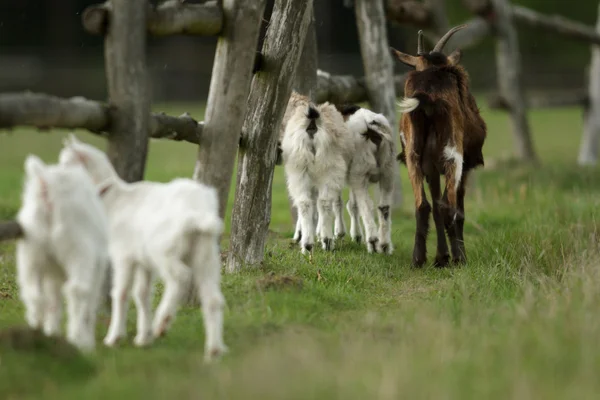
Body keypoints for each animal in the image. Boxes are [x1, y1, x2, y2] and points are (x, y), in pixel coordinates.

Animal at [15, 155, 110, 352]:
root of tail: (48, 184)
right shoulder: (97, 266)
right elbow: (89, 302)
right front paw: (88, 342)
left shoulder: (52, 271)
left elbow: (53, 299)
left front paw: (52, 331)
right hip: (79, 251)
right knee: (77, 290)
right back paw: (78, 340)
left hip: (31, 250)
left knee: (34, 294)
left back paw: (36, 334)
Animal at [58, 135, 227, 362]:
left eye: (65, 164)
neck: (113, 200)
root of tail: (198, 212)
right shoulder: (143, 261)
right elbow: (141, 294)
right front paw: (143, 339)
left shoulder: (124, 256)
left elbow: (120, 293)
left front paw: (114, 338)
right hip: (206, 253)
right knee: (213, 299)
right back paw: (213, 351)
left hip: (165, 250)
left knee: (181, 277)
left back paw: (162, 322)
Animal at [280, 93, 352, 253]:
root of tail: (312, 122)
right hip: (326, 168)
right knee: (322, 202)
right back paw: (324, 241)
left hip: (302, 169)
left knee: (308, 203)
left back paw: (311, 243)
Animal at [338, 106, 398, 253]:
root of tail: (370, 126)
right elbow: (352, 205)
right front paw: (356, 236)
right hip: (388, 170)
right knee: (383, 207)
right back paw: (385, 245)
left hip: (360, 171)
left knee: (366, 205)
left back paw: (373, 242)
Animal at [392, 25, 486, 268]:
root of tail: (427, 97)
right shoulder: (465, 166)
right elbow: (456, 210)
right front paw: (451, 256)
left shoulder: (431, 169)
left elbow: (434, 207)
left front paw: (440, 256)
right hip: (453, 155)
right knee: (449, 206)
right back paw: (459, 258)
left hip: (413, 156)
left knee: (423, 205)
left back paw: (418, 259)